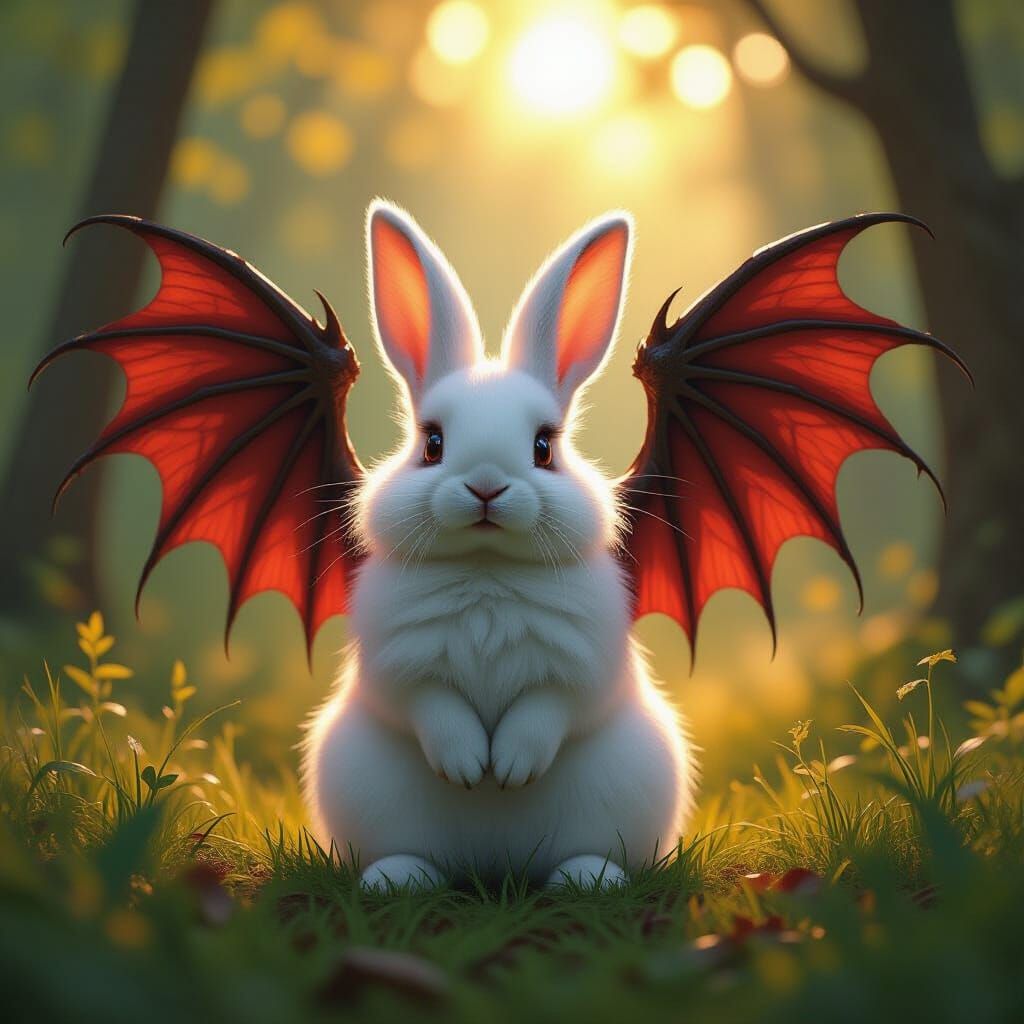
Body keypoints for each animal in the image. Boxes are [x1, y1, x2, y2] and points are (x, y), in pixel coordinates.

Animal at [301, 200, 696, 890]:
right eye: (432, 443)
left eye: (544, 447)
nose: (486, 485)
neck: (486, 568)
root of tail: (492, 869)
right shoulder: (400, 664)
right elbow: (432, 705)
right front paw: (467, 766)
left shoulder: (583, 666)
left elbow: (549, 708)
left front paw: (509, 768)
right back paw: (395, 879)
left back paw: (587, 879)